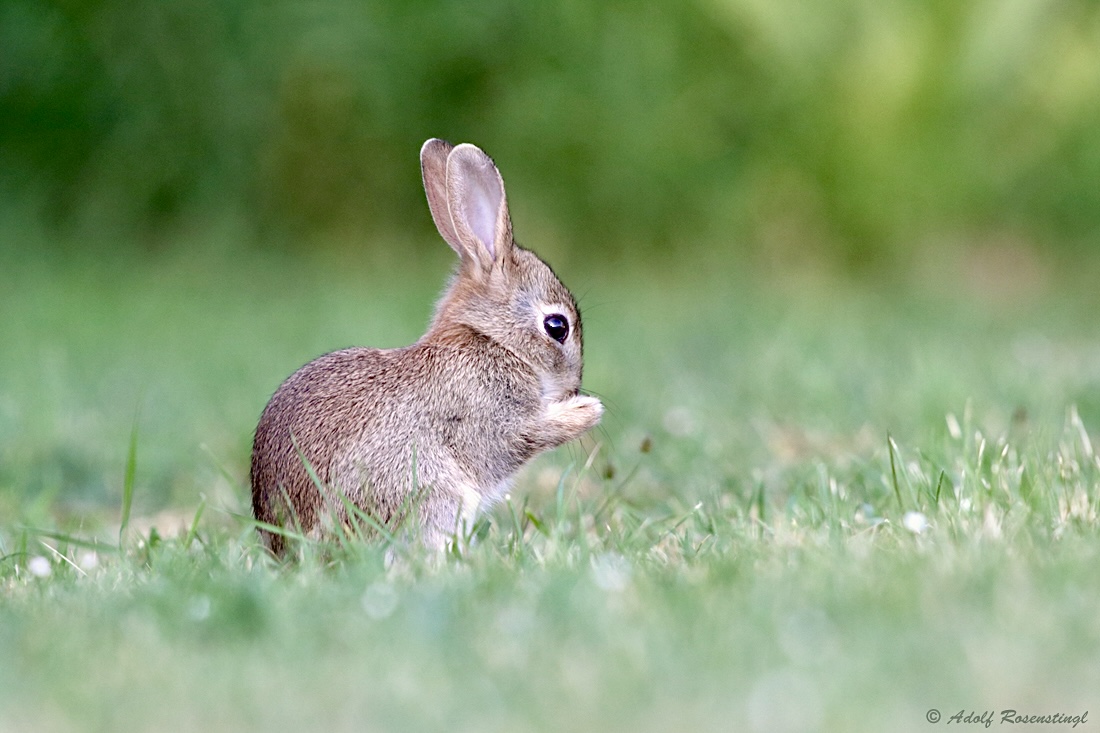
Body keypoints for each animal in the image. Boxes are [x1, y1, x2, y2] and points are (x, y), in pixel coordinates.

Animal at [251, 138, 602, 554]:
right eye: (557, 327)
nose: (574, 388)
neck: (492, 340)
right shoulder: (490, 418)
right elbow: (524, 437)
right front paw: (587, 411)